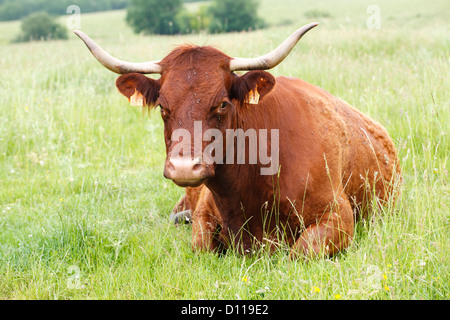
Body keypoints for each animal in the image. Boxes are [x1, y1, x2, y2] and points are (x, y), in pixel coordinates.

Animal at [75, 24, 402, 260]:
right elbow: (201, 246)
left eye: (222, 104)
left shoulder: (339, 216)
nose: (184, 168)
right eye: (163, 107)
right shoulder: (205, 212)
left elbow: (300, 253)